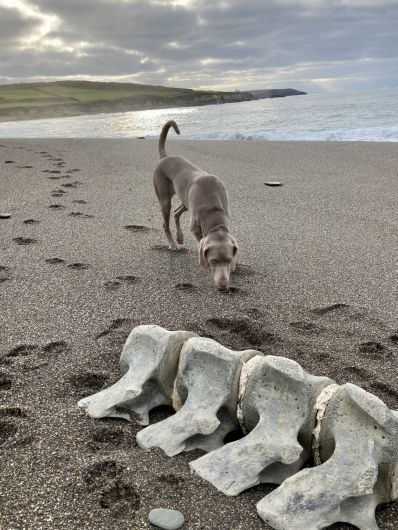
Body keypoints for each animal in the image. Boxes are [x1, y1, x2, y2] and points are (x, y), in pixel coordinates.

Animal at [153, 119, 238, 286]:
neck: (213, 210)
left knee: (176, 212)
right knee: (166, 222)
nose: (223, 284)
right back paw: (173, 245)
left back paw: (179, 237)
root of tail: (164, 158)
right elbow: (200, 241)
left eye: (229, 260)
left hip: (185, 201)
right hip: (164, 198)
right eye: (213, 261)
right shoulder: (195, 228)